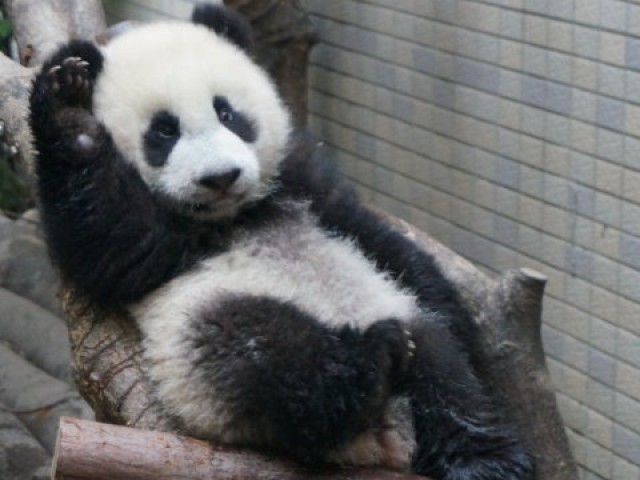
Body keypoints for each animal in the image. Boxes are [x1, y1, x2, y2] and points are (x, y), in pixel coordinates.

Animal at [29, 4, 533, 479]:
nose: (221, 177)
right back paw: (367, 361)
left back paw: (487, 460)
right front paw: (69, 105)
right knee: (263, 359)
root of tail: (386, 441)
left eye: (228, 113)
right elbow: (110, 240)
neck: (234, 217)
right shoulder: (148, 246)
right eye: (164, 131)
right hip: (205, 340)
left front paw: (465, 328)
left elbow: (382, 243)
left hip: (399, 321)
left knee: (442, 370)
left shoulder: (303, 182)